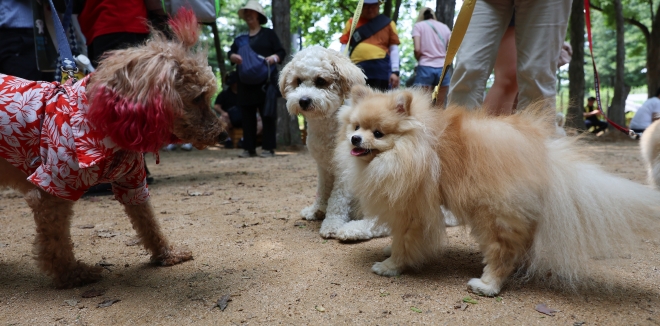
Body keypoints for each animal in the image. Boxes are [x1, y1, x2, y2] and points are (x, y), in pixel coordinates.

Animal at [336, 86, 660, 296]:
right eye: (355, 126)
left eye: (378, 133)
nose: (354, 139)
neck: (412, 147)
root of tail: (543, 156)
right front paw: (391, 252)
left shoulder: (412, 209)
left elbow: (405, 241)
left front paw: (391, 265)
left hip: (492, 213)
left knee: (502, 251)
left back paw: (487, 285)